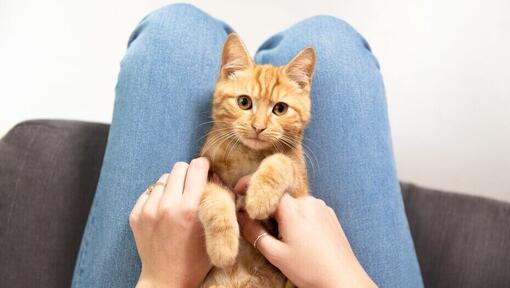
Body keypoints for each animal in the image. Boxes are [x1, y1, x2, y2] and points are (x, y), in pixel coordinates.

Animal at [198, 32, 314, 286]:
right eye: (244, 102)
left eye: (280, 109)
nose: (258, 127)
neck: (249, 155)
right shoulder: (206, 171)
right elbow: (214, 198)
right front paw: (223, 248)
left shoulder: (299, 189)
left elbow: (281, 162)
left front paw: (260, 197)